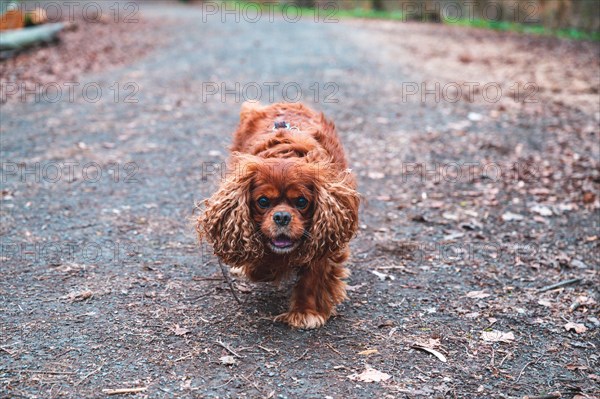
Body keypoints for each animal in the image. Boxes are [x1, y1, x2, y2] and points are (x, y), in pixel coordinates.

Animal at [197, 101, 358, 330]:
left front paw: (305, 312)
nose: (282, 217)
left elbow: (314, 275)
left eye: (301, 202)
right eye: (263, 202)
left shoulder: (327, 232)